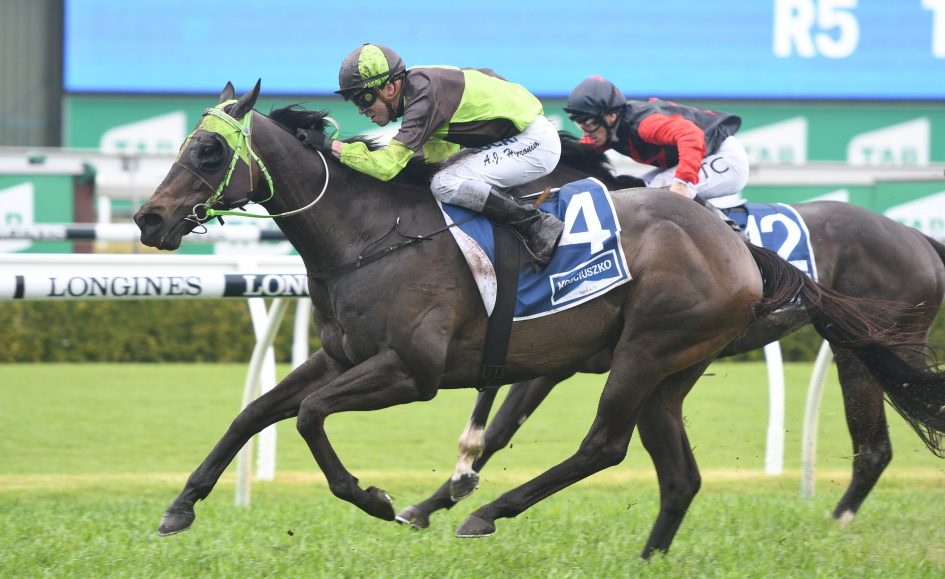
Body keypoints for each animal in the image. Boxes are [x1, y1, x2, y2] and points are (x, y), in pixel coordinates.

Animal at [134, 81, 945, 558]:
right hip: (677, 369)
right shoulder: (343, 356)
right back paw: (644, 556)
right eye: (184, 144)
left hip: (651, 351)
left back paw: (490, 511)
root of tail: (738, 249)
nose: (149, 218)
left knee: (605, 445)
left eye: (207, 150)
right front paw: (179, 506)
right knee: (679, 474)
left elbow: (309, 417)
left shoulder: (413, 371)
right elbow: (255, 413)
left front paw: (380, 498)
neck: (369, 234)